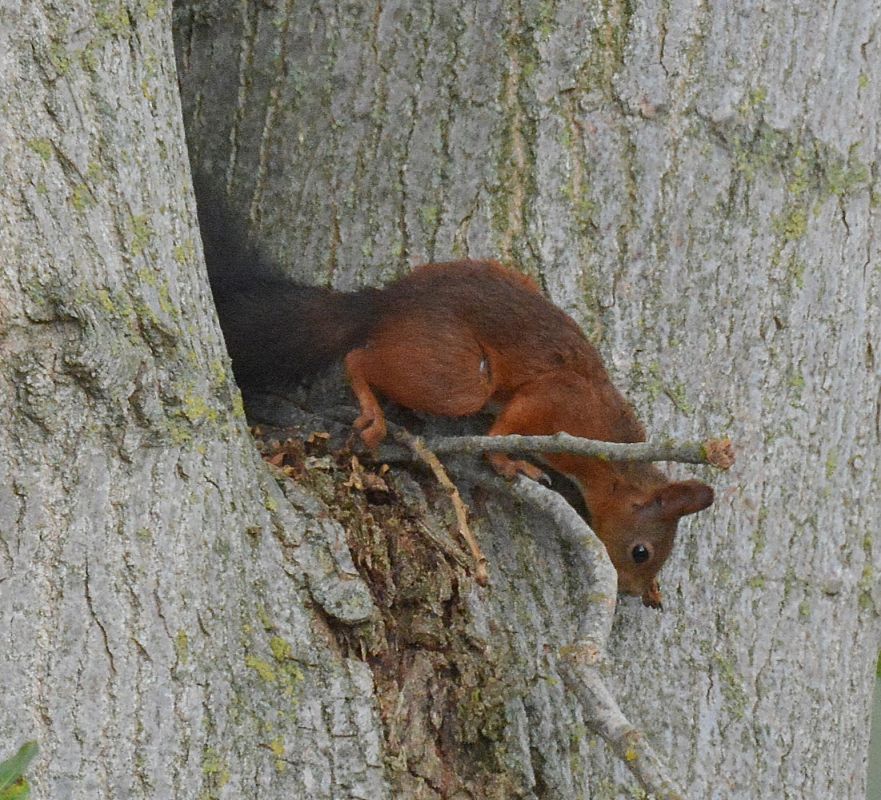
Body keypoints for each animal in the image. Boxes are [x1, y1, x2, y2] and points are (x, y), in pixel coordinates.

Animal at [195, 183, 714, 608]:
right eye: (641, 551)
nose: (633, 590)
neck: (610, 457)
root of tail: (386, 303)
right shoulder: (558, 401)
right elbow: (508, 428)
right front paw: (510, 463)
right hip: (459, 377)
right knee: (359, 359)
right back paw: (373, 413)